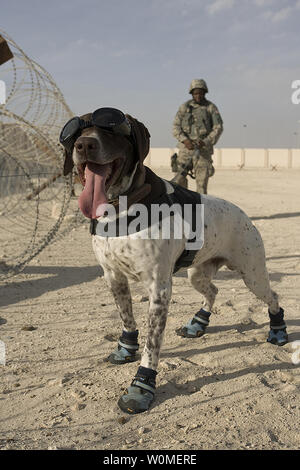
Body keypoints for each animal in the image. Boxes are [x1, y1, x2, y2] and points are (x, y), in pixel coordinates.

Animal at [61, 110, 288, 414]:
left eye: (111, 129)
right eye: (75, 132)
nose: (84, 145)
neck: (121, 210)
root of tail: (243, 213)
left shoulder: (159, 289)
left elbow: (152, 346)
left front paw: (140, 387)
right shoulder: (113, 277)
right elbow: (126, 318)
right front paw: (125, 348)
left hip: (253, 275)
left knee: (273, 297)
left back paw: (278, 331)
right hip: (197, 274)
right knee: (213, 290)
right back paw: (197, 324)